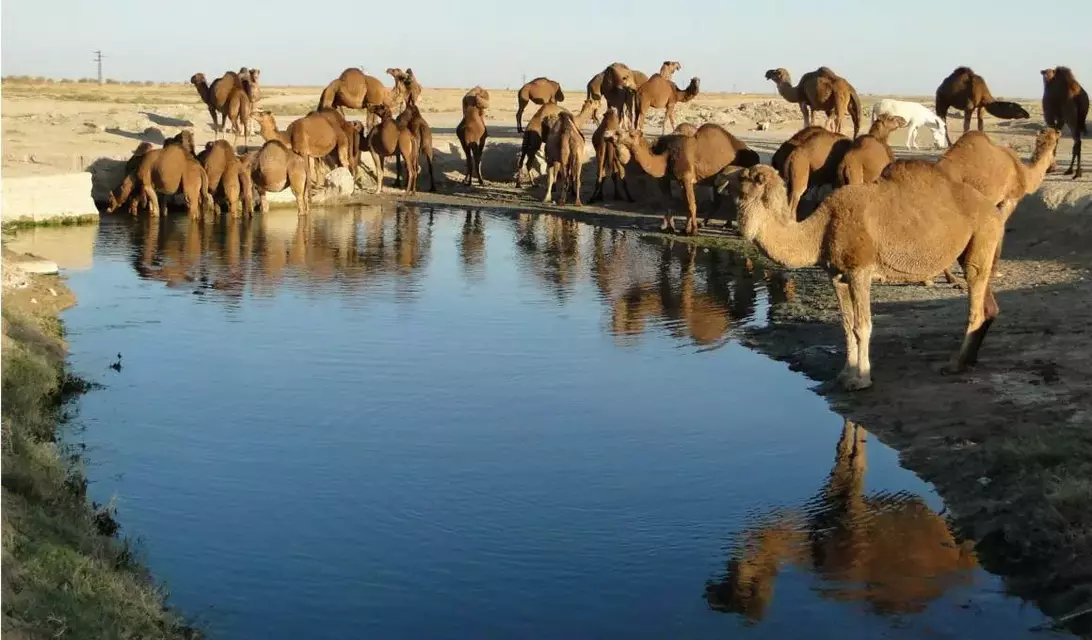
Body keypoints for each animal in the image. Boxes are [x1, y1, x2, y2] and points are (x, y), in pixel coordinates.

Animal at [607, 123, 760, 232]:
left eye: (632, 134)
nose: (612, 135)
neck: (666, 154)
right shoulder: (668, 178)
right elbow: (671, 202)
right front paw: (671, 227)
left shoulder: (686, 177)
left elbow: (691, 204)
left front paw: (691, 231)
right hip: (717, 179)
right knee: (720, 200)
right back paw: (711, 223)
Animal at [729, 160, 1000, 388]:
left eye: (744, 185)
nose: (726, 183)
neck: (819, 232)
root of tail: (994, 210)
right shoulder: (836, 275)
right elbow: (847, 325)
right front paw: (844, 374)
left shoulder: (860, 270)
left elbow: (862, 325)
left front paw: (861, 379)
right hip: (977, 247)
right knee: (989, 304)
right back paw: (969, 360)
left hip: (982, 235)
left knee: (975, 306)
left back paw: (955, 365)